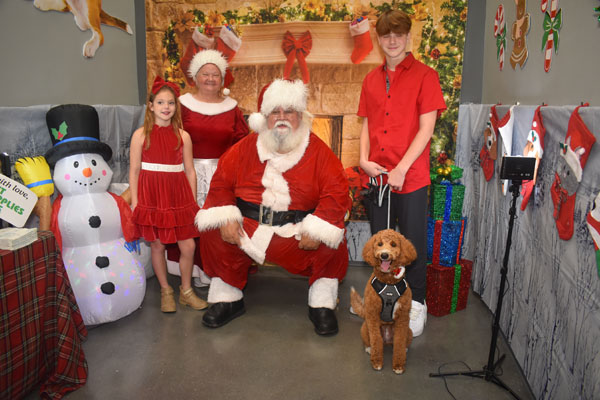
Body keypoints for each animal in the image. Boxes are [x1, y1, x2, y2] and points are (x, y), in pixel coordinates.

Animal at [352, 230, 418, 374]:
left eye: (393, 244)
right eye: (379, 244)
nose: (384, 255)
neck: (388, 283)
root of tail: (387, 341)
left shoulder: (402, 318)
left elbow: (399, 343)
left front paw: (398, 365)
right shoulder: (372, 315)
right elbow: (376, 340)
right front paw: (376, 362)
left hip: (409, 331)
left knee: (402, 342)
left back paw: (405, 349)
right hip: (365, 328)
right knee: (370, 341)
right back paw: (369, 349)